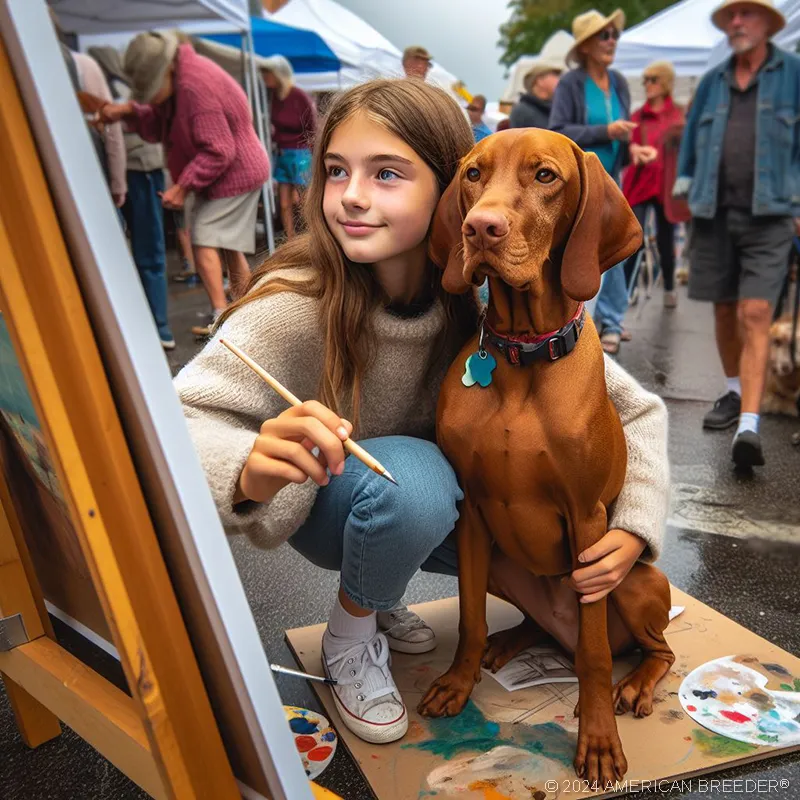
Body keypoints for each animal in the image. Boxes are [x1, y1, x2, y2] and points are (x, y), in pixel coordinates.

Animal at [418, 131, 676, 788]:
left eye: (545, 176)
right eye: (473, 174)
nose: (480, 229)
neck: (521, 354)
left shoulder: (587, 518)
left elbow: (594, 656)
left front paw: (599, 741)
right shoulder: (472, 513)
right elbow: (470, 619)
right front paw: (459, 681)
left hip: (637, 582)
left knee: (645, 649)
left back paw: (636, 685)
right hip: (503, 562)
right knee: (537, 626)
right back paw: (512, 641)